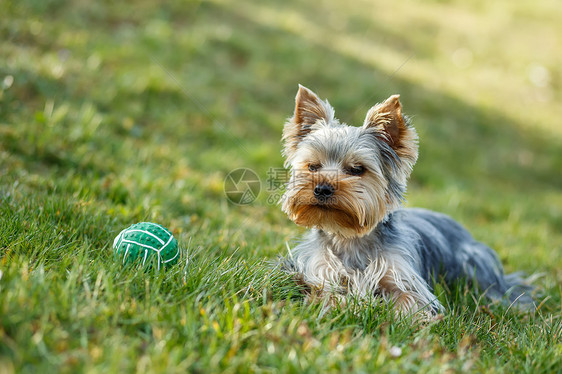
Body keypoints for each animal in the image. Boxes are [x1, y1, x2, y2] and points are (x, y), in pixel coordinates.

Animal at [280, 84, 532, 316]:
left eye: (356, 169)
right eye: (313, 166)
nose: (322, 188)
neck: (349, 237)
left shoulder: (406, 279)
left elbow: (408, 300)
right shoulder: (318, 270)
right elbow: (324, 292)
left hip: (473, 262)